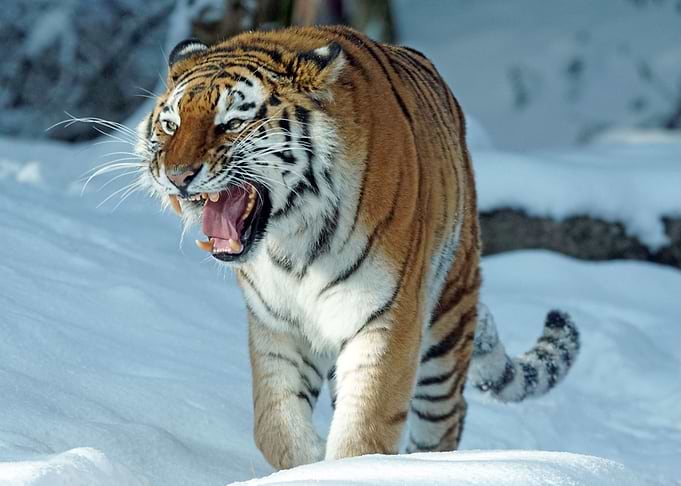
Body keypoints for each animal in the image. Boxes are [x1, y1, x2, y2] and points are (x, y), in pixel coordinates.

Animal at [135, 25, 580, 470]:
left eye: (232, 123)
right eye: (171, 125)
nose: (176, 176)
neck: (291, 240)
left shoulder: (386, 318)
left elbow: (365, 429)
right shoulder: (277, 325)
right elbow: (275, 426)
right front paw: (309, 463)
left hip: (448, 321)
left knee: (446, 418)